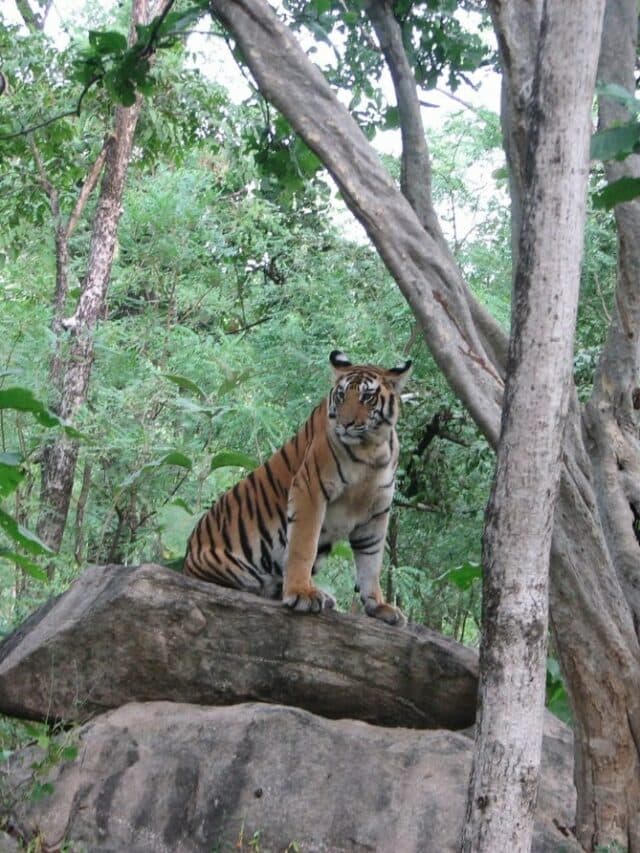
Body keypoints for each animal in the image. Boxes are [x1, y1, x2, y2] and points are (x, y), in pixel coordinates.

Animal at [183, 350, 412, 626]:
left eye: (367, 397)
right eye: (341, 396)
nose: (345, 424)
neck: (371, 450)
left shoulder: (377, 510)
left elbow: (371, 562)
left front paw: (379, 606)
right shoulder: (310, 488)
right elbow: (303, 545)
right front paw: (302, 593)